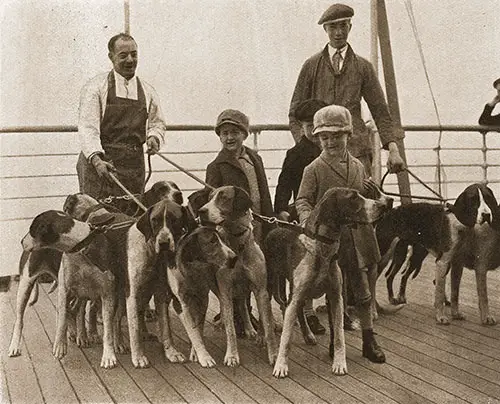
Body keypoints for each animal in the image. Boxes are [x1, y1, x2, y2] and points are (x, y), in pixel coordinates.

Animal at [169, 226, 239, 368]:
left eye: (222, 240)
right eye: (212, 241)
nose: (234, 257)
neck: (194, 269)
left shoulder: (202, 299)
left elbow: (198, 328)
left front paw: (197, 353)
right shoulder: (180, 304)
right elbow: (193, 332)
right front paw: (203, 356)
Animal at [197, 185, 280, 366]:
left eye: (223, 197)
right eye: (210, 197)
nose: (201, 211)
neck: (237, 245)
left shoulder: (261, 291)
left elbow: (268, 325)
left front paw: (274, 355)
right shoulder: (226, 290)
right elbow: (231, 329)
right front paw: (232, 355)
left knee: (244, 306)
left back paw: (251, 330)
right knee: (231, 307)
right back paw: (224, 322)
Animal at [268, 188, 392, 378]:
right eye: (353, 197)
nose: (383, 206)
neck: (322, 250)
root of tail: (275, 227)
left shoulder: (336, 297)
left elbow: (339, 333)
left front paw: (339, 363)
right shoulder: (295, 298)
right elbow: (286, 337)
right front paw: (281, 365)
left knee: (300, 313)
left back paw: (308, 335)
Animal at [376, 183, 496, 326]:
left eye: (488, 198)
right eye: (474, 199)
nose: (487, 215)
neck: (459, 223)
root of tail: (387, 213)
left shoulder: (457, 264)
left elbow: (455, 293)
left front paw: (455, 314)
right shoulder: (442, 262)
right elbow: (439, 292)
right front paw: (441, 317)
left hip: (409, 256)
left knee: (394, 275)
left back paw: (396, 298)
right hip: (385, 255)